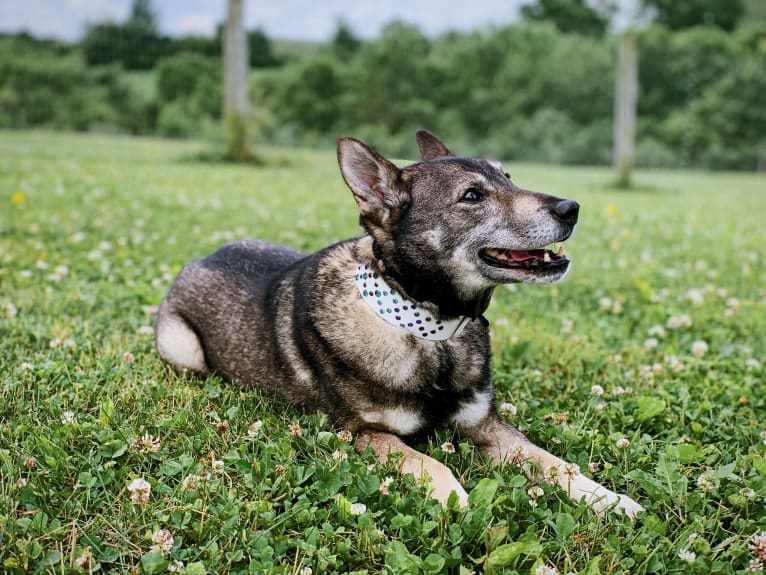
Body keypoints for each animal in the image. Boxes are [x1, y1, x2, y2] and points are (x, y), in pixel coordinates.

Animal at [159, 133, 644, 520]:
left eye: (508, 177)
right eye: (472, 196)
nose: (571, 208)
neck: (428, 328)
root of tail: (205, 256)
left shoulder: (486, 424)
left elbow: (551, 460)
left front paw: (607, 498)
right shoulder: (362, 433)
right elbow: (431, 463)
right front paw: (459, 500)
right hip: (185, 351)